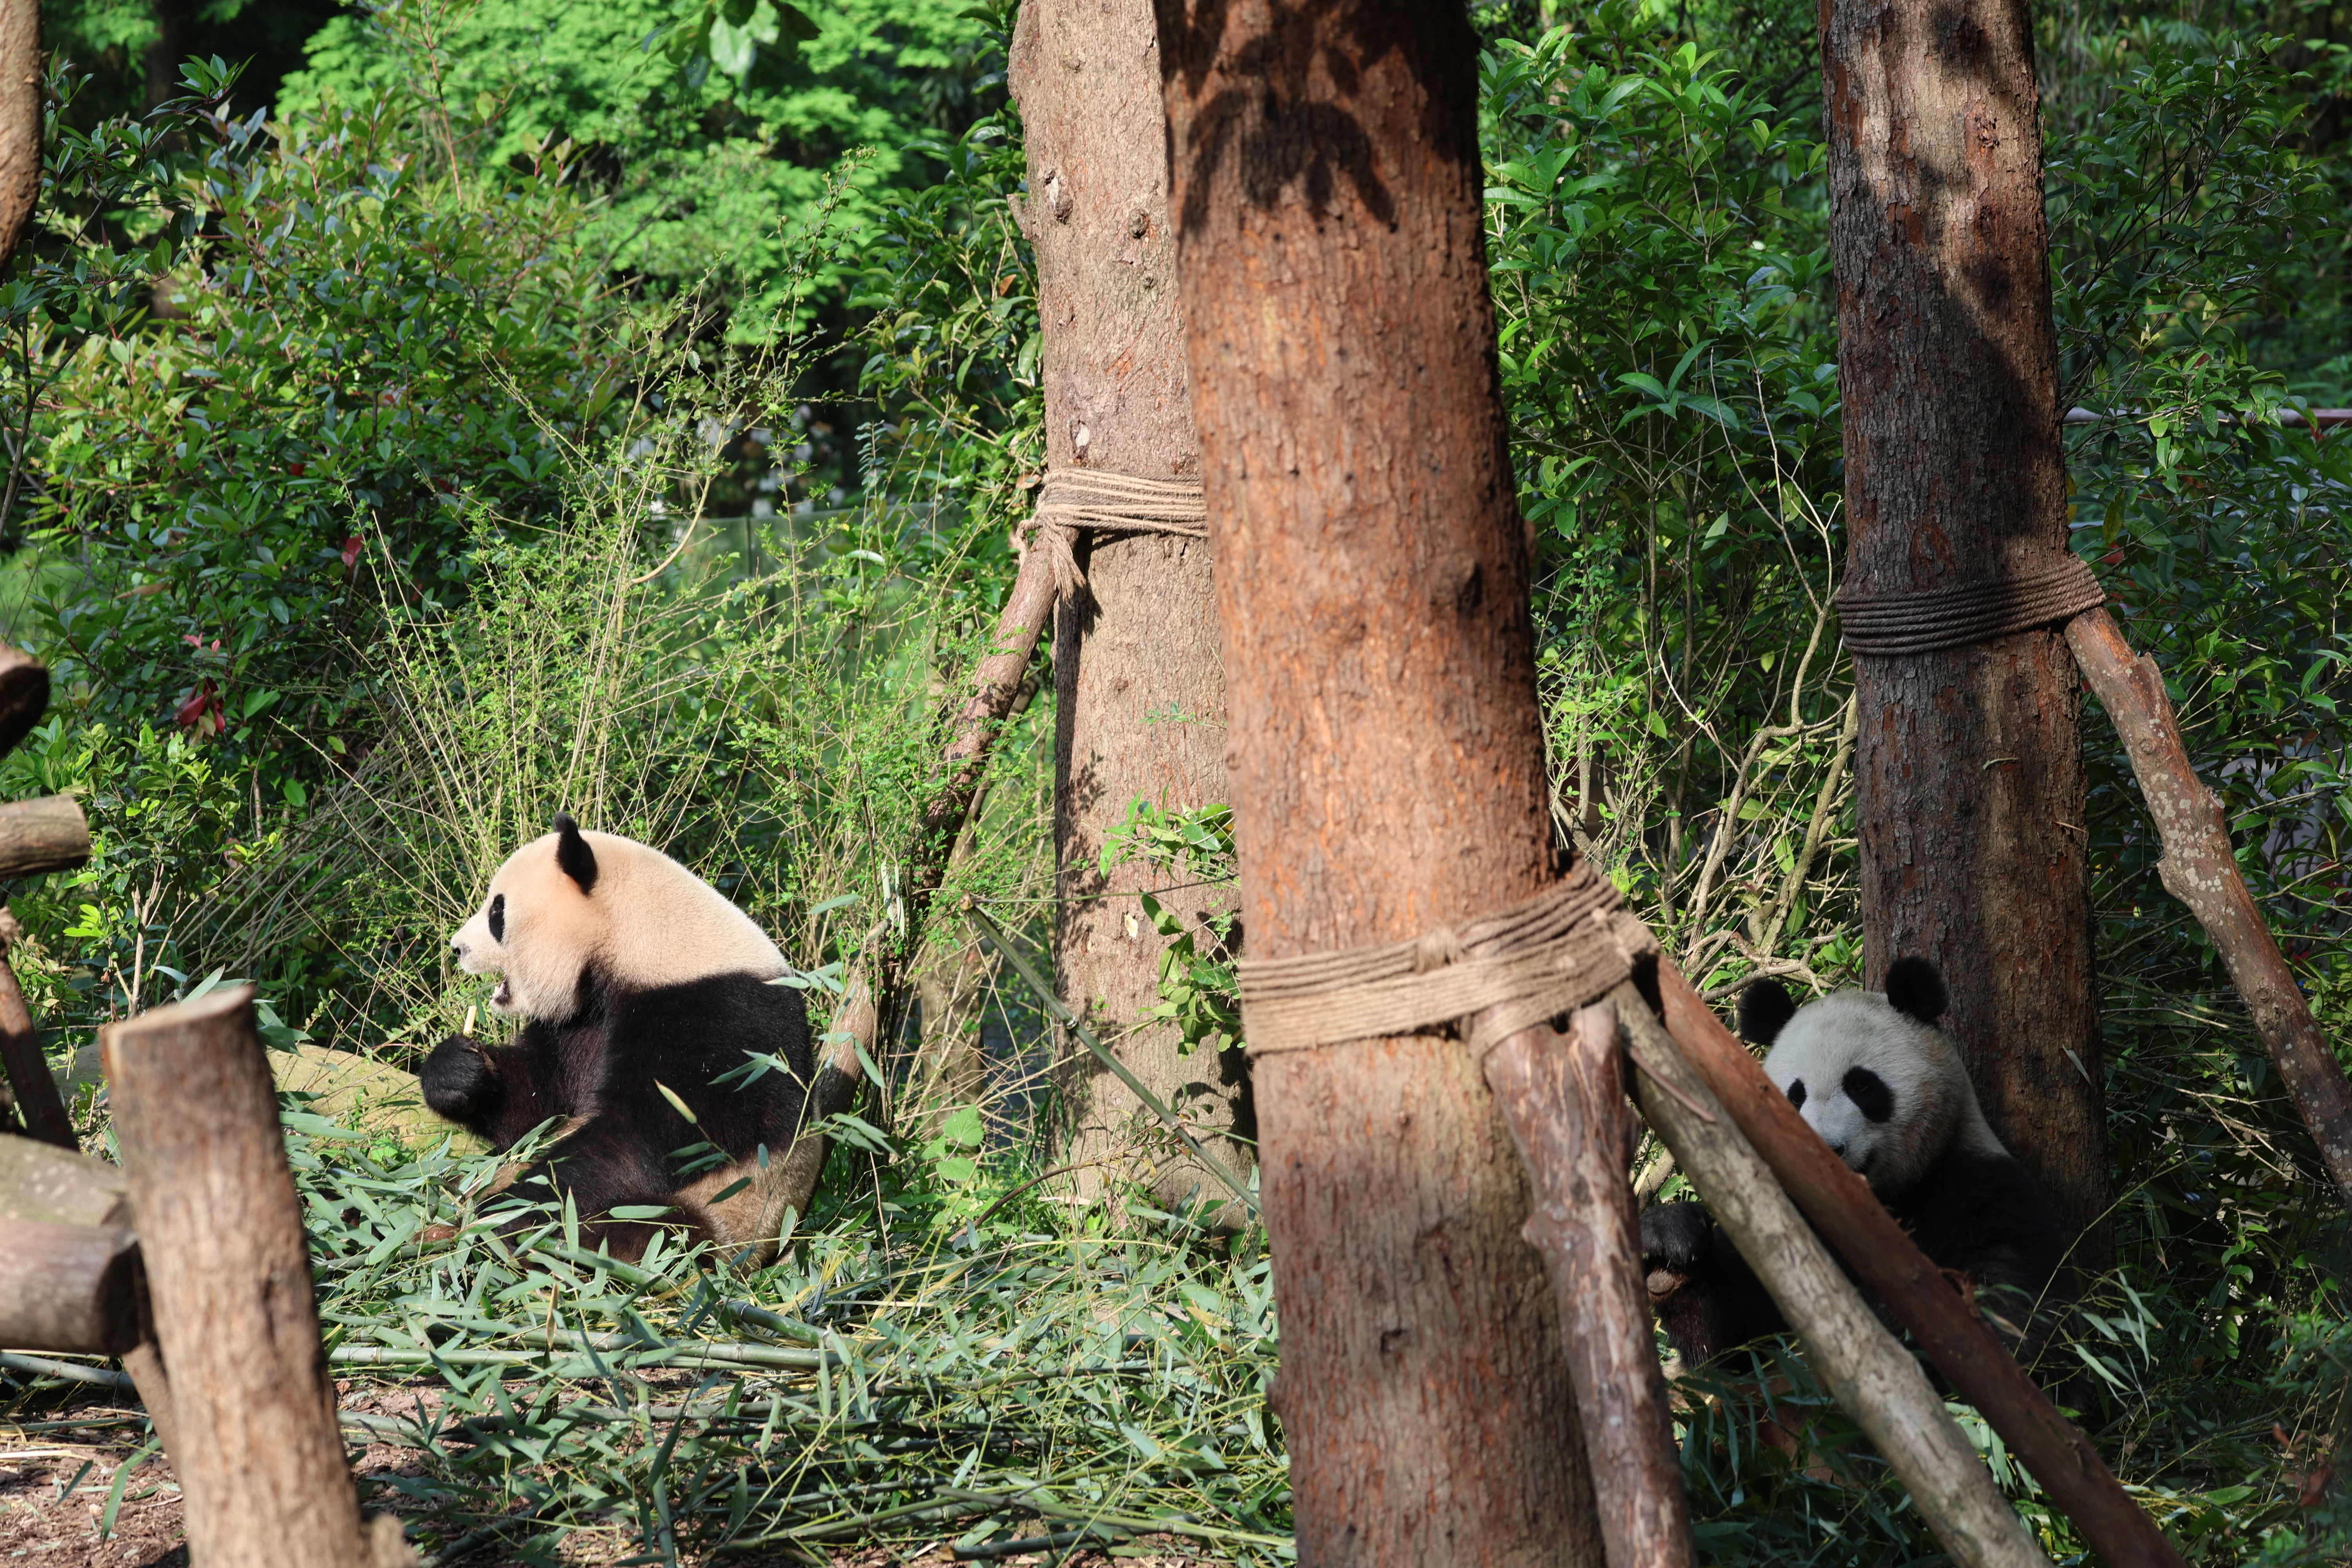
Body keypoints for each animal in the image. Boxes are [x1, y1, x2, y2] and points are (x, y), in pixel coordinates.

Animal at [418, 815, 819, 1264]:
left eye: (497, 911)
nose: (457, 948)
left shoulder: (717, 1021)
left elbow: (641, 1142)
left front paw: (509, 1210)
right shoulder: (579, 1019)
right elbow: (538, 1101)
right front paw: (458, 1070)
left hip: (730, 1217)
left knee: (644, 1233)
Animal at [1640, 956, 2072, 1378]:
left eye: (1862, 1086)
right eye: (1795, 1096)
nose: (1827, 1150)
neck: (1867, 1210)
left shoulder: (1977, 1188)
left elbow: (2016, 1320)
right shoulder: (1785, 1222)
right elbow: (1734, 1345)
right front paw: (1668, 1245)